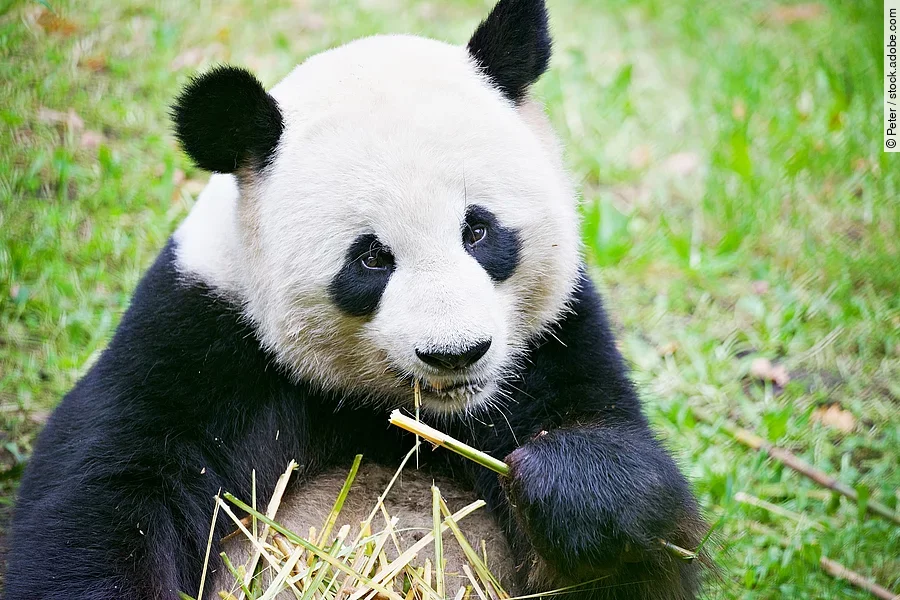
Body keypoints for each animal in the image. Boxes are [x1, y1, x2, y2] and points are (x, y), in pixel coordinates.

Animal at [5, 0, 706, 598]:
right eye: (371, 258)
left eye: (478, 231)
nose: (456, 354)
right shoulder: (195, 345)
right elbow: (100, 508)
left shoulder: (554, 344)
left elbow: (639, 533)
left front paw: (564, 486)